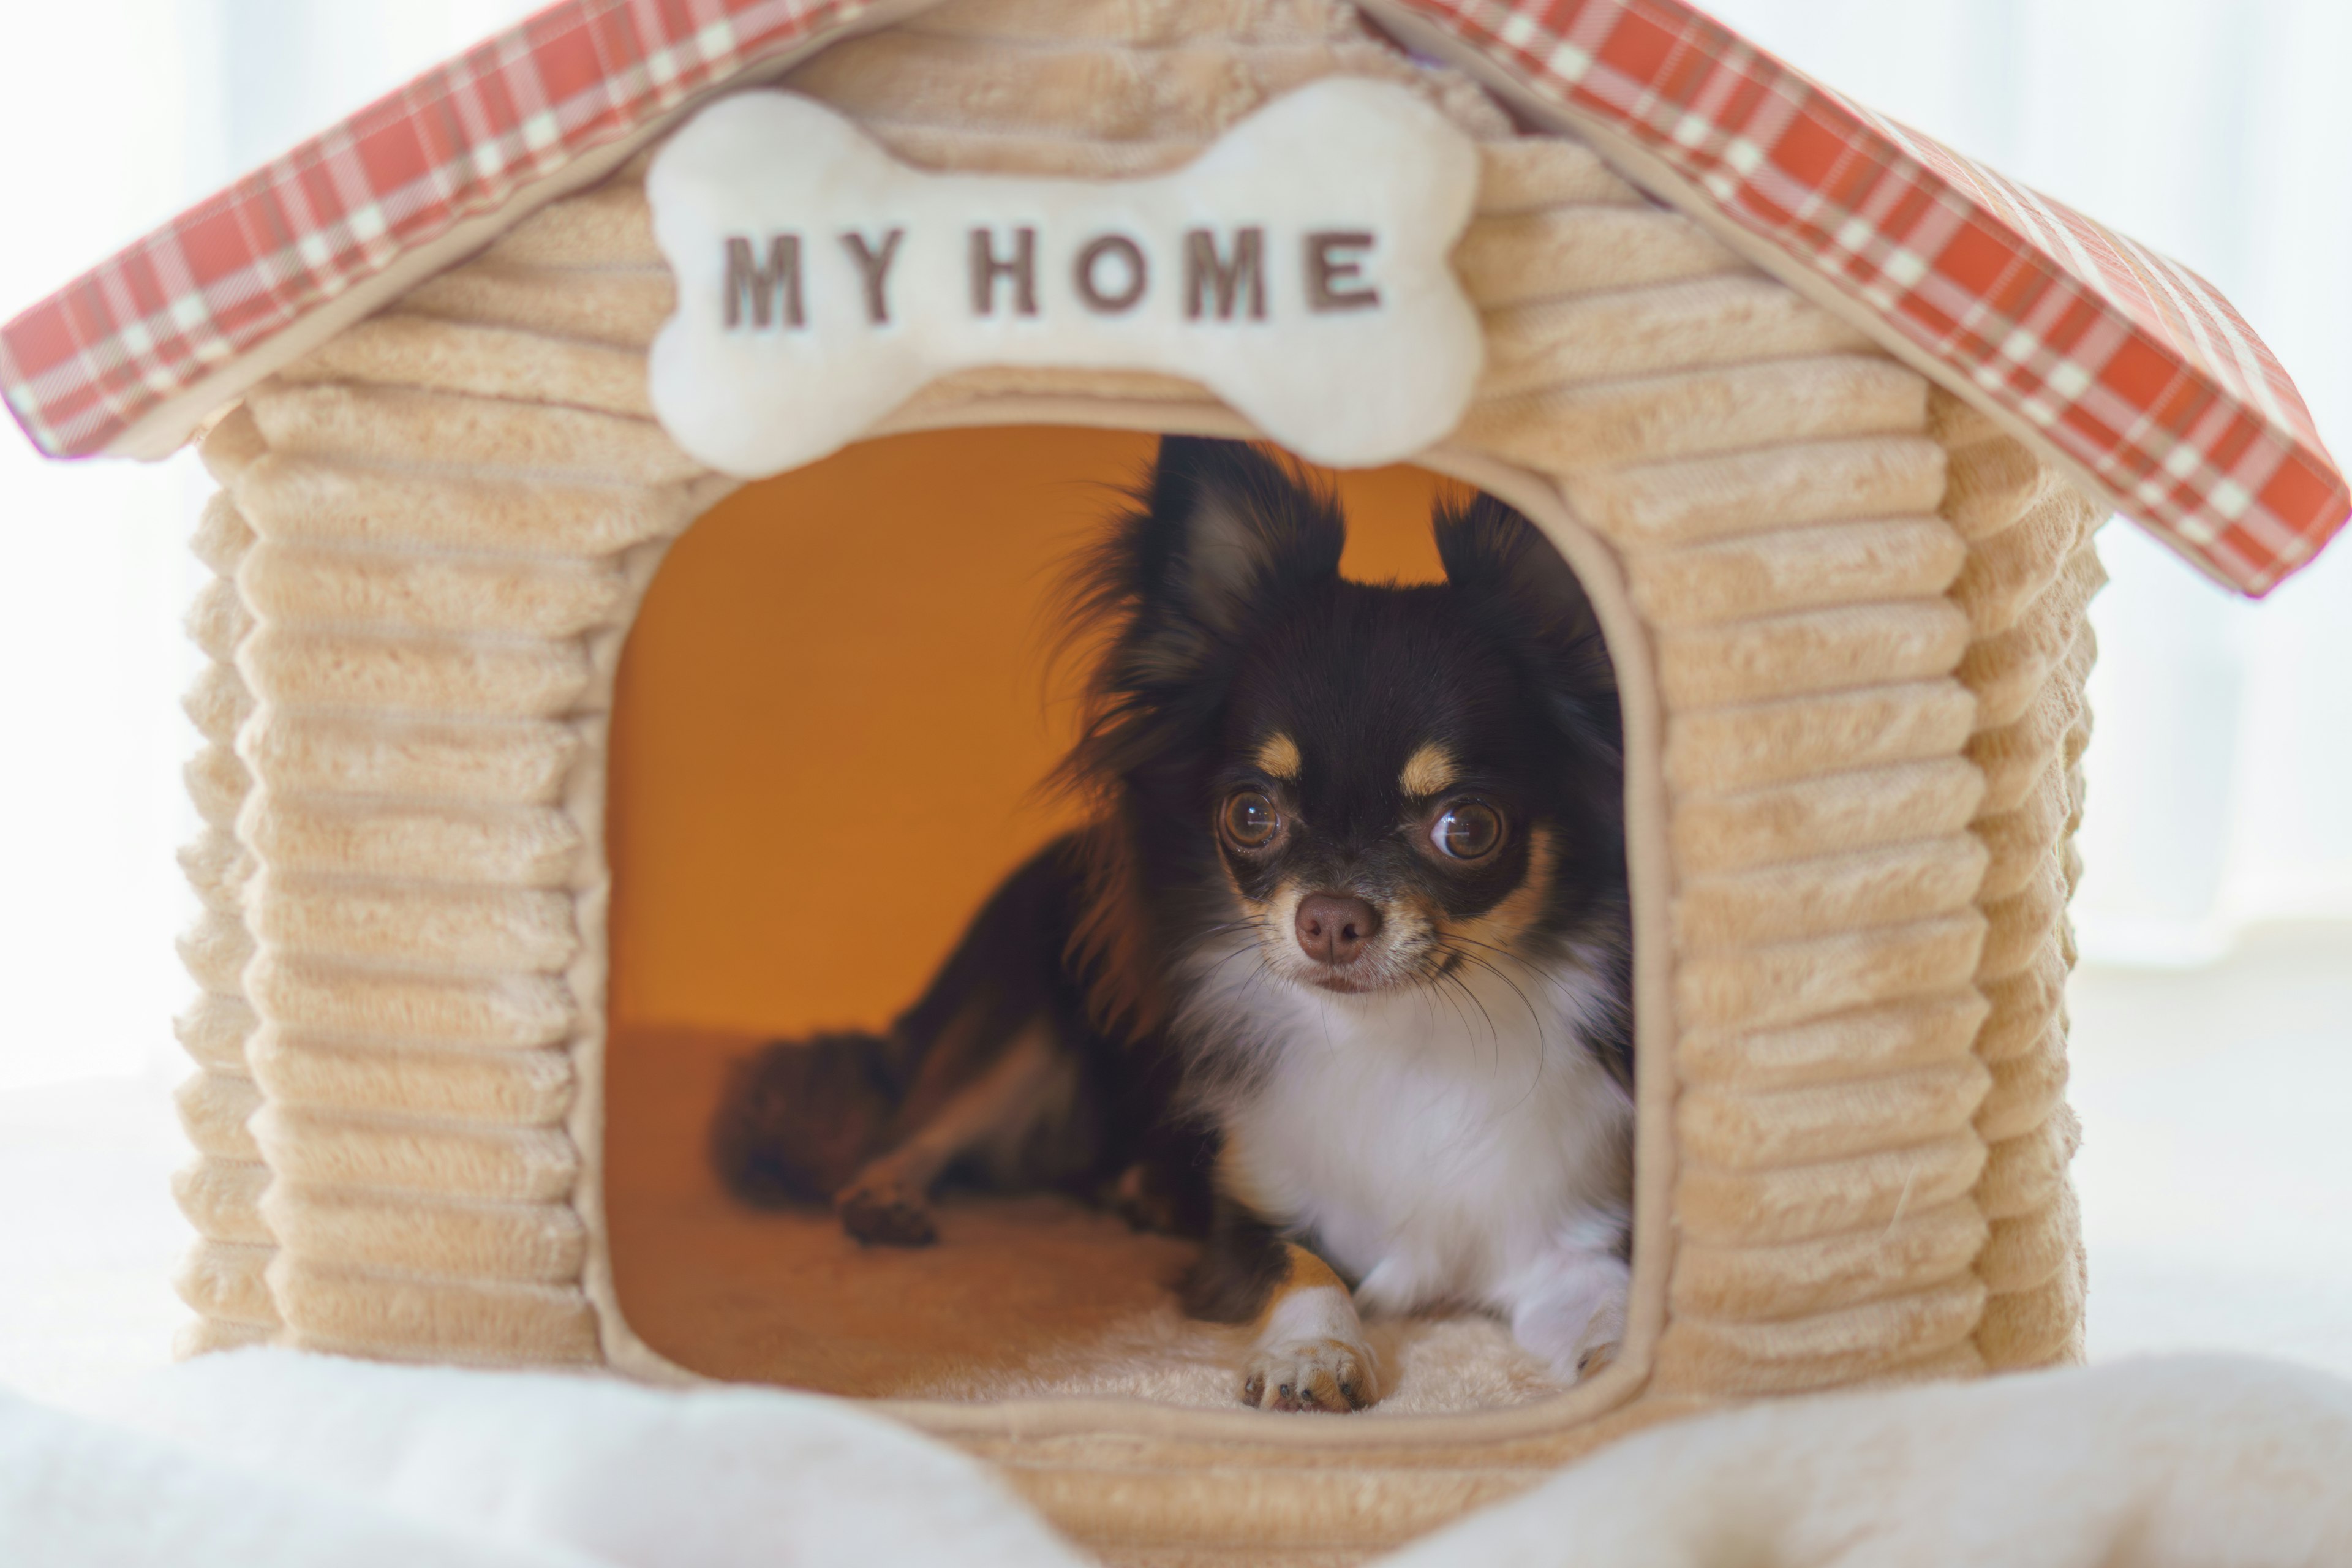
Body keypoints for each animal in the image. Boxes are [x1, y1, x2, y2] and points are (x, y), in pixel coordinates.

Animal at [715, 439, 1637, 1410]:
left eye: (1468, 828)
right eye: (1251, 815)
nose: (1330, 920)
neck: (1405, 1037)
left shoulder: (1572, 1236)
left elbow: (1610, 1300)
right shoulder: (1245, 1224)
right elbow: (1305, 1267)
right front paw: (1313, 1352)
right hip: (1030, 1024)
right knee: (916, 1125)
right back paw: (888, 1198)